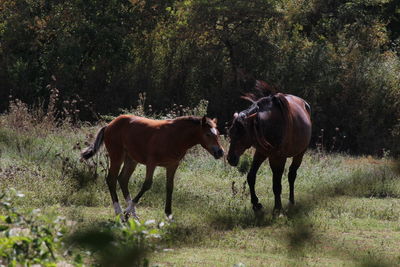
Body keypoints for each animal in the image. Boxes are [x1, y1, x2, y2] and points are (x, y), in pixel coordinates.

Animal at [81, 115, 225, 220]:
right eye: (207, 134)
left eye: (217, 133)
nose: (220, 152)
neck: (175, 137)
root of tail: (109, 125)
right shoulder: (151, 163)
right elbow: (147, 185)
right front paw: (126, 213)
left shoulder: (172, 165)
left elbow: (170, 187)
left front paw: (169, 215)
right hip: (117, 156)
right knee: (111, 179)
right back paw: (121, 214)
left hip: (131, 159)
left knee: (122, 179)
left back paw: (133, 215)